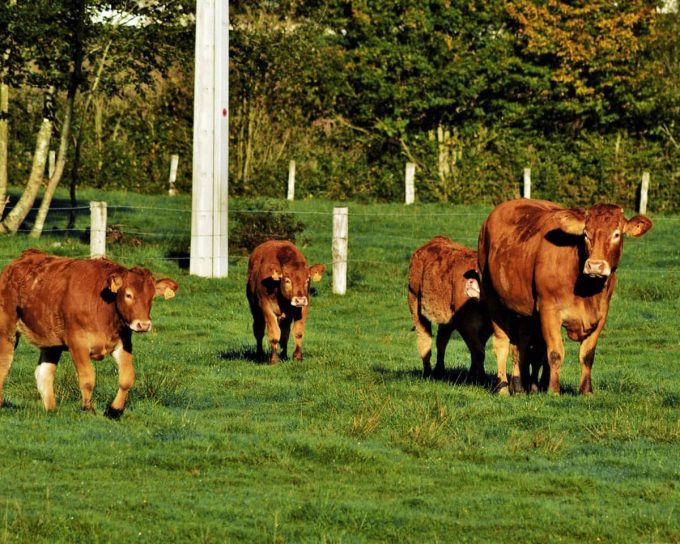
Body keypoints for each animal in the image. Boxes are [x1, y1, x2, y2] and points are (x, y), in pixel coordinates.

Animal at [0, 249, 178, 418]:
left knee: (44, 374)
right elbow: (87, 377)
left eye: (151, 297)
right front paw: (88, 409)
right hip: (6, 330)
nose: (144, 324)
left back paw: (51, 409)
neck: (105, 310)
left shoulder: (123, 343)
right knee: (4, 363)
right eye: (128, 294)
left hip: (51, 342)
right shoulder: (77, 343)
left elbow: (127, 377)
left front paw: (115, 410)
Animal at [408, 236, 492, 383]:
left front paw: (473, 377)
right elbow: (479, 352)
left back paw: (439, 371)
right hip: (414, 300)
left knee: (441, 341)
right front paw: (480, 379)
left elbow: (477, 350)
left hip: (447, 318)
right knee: (424, 340)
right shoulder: (466, 324)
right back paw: (427, 373)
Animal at [478, 199, 652, 395]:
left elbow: (587, 355)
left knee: (521, 344)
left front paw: (586, 391)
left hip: (524, 311)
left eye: (616, 234)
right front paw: (553, 390)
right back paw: (503, 388)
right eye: (586, 234)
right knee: (502, 343)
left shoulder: (601, 315)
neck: (587, 290)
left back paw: (520, 386)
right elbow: (555, 353)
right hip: (492, 297)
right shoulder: (549, 310)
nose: (595, 265)